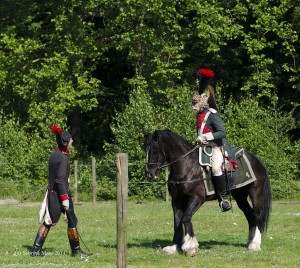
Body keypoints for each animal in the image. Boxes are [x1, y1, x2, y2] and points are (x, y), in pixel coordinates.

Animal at [144, 129, 272, 256]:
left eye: (154, 149)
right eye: (145, 148)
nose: (150, 173)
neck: (187, 166)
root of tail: (257, 160)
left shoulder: (197, 198)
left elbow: (185, 218)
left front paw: (190, 247)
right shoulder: (176, 200)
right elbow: (177, 222)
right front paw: (175, 247)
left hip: (256, 193)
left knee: (257, 215)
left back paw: (254, 245)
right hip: (240, 196)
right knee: (250, 215)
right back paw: (250, 242)